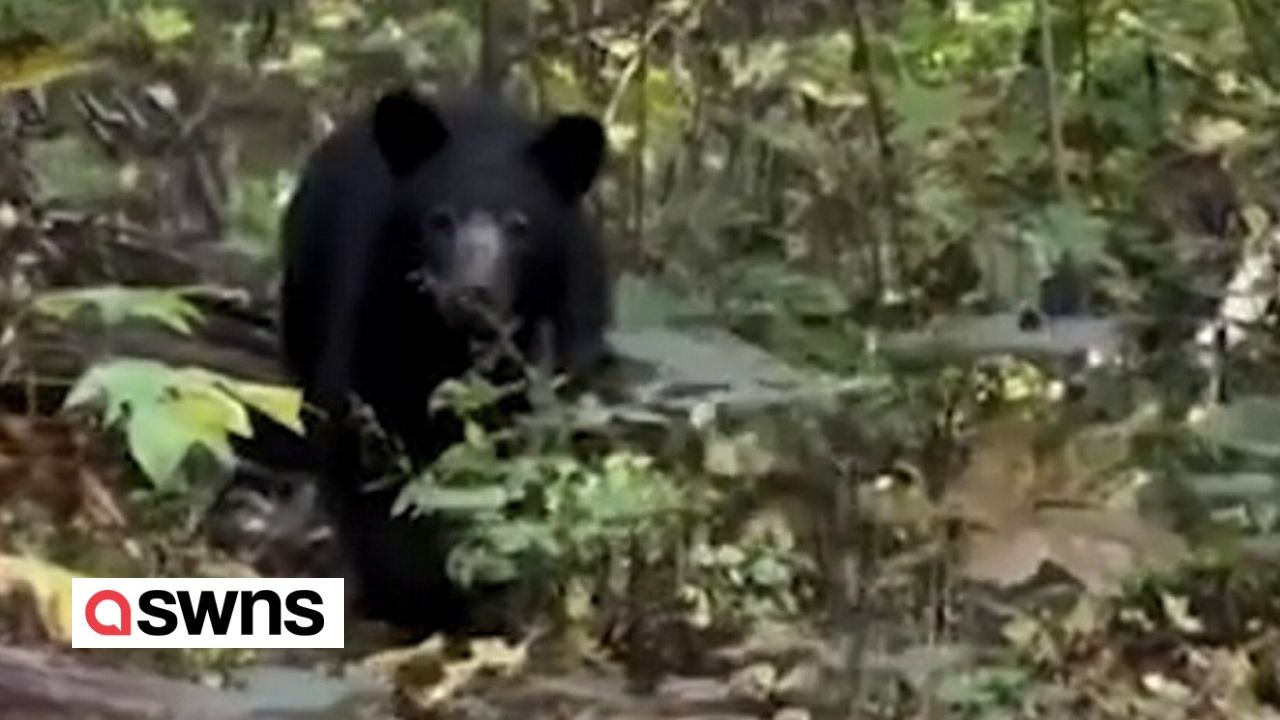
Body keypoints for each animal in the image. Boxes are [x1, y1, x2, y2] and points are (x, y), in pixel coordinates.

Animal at [276, 86, 610, 633]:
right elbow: (368, 443)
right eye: (439, 218)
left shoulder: (560, 337)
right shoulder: (377, 319)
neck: (455, 346)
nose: (471, 294)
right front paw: (415, 593)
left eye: (519, 224)